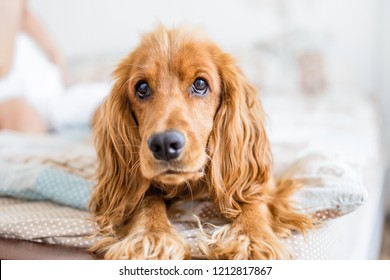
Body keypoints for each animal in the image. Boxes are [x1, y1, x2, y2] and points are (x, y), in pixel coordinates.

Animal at [89, 26, 314, 260]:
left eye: (200, 84)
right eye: (142, 87)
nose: (164, 144)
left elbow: (253, 198)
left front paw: (252, 238)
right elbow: (146, 199)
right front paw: (151, 236)